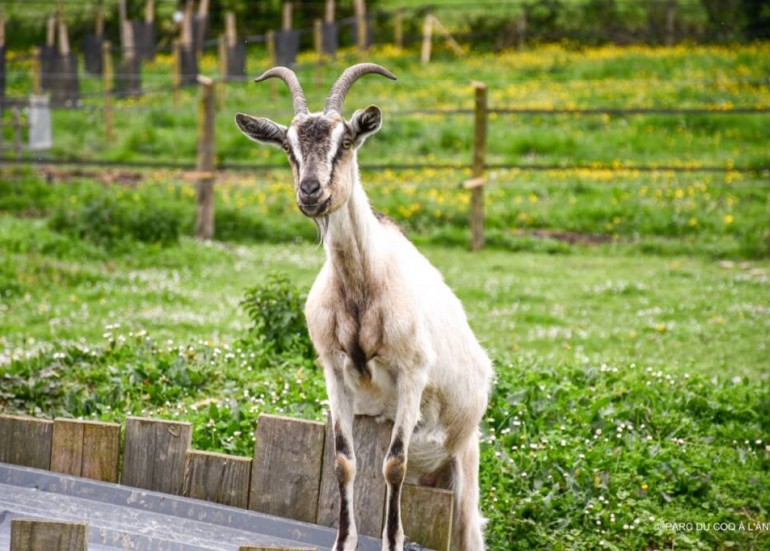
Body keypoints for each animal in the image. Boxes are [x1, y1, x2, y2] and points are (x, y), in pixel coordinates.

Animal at [234, 66, 496, 551]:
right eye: (288, 146)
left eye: (346, 141)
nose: (311, 191)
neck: (362, 287)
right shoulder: (335, 374)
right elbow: (343, 461)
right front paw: (344, 540)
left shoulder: (412, 373)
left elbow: (393, 464)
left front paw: (393, 541)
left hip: (465, 457)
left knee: (468, 527)